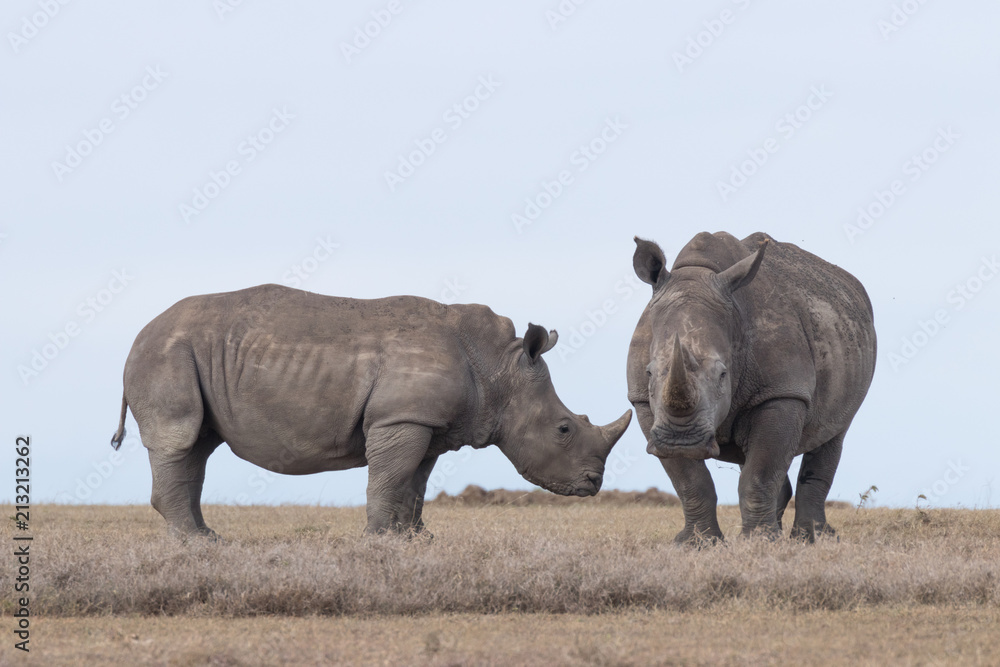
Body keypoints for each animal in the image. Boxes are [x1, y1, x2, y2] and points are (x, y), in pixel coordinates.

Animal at [110, 284, 632, 537]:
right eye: (563, 429)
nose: (593, 484)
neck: (497, 369)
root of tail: (139, 333)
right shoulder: (401, 417)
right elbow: (390, 478)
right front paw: (380, 540)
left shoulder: (428, 424)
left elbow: (413, 484)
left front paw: (415, 541)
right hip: (167, 353)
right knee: (179, 439)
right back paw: (196, 545)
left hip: (187, 354)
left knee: (197, 446)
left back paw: (208, 538)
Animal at [627, 232, 876, 542]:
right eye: (649, 372)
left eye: (723, 374)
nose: (680, 440)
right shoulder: (643, 401)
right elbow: (690, 482)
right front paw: (697, 544)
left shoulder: (782, 392)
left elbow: (760, 474)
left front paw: (759, 542)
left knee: (833, 434)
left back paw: (813, 539)